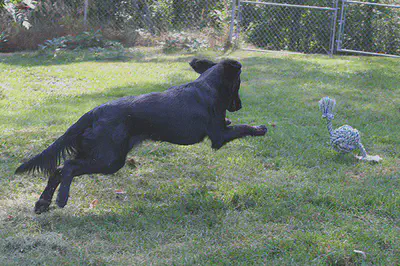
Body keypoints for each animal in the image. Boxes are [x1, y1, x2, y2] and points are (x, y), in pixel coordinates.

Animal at [15, 58, 268, 214]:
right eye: (238, 83)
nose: (239, 106)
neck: (208, 86)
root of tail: (94, 111)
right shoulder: (218, 136)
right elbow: (243, 127)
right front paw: (259, 128)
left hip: (98, 154)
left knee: (57, 169)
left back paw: (42, 203)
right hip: (110, 159)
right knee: (66, 167)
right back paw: (61, 199)